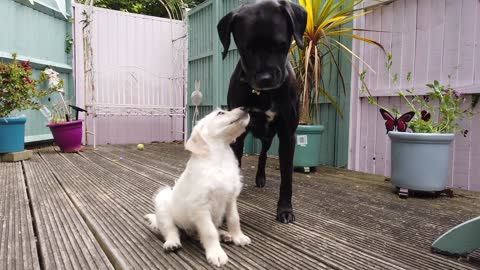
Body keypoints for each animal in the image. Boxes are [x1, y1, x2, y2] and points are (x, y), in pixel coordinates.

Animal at [144, 106, 251, 266]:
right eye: (220, 113)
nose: (245, 107)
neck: (219, 157)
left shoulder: (231, 198)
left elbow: (234, 219)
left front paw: (239, 237)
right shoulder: (200, 206)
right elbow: (209, 232)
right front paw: (216, 253)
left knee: (200, 233)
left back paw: (224, 234)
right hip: (163, 202)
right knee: (171, 229)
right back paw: (172, 243)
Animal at [218, 0, 308, 224]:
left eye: (282, 45)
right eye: (245, 49)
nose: (265, 79)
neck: (263, 94)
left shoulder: (288, 135)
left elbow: (287, 177)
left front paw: (285, 209)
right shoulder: (237, 133)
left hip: (269, 137)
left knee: (263, 155)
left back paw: (260, 177)